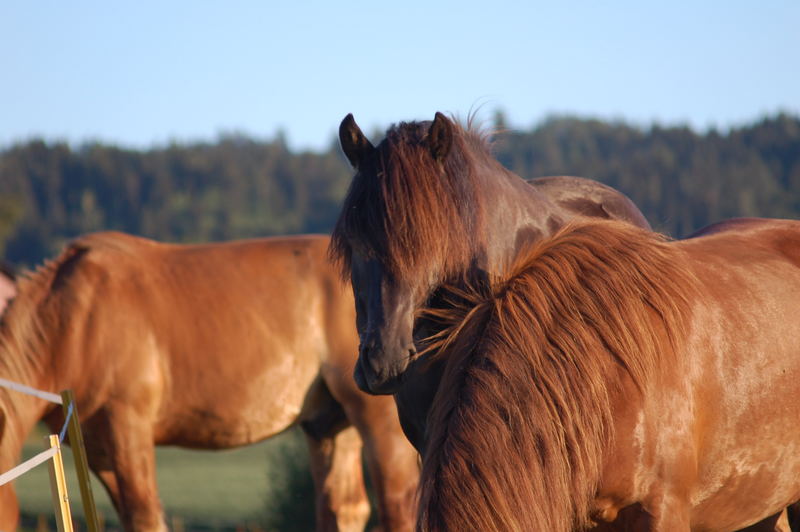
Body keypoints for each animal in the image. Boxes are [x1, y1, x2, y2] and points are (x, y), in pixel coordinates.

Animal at [0, 234, 422, 532]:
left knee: (398, 504)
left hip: (377, 421)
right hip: (330, 425)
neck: (74, 321)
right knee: (344, 508)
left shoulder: (128, 431)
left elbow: (145, 517)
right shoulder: (98, 452)